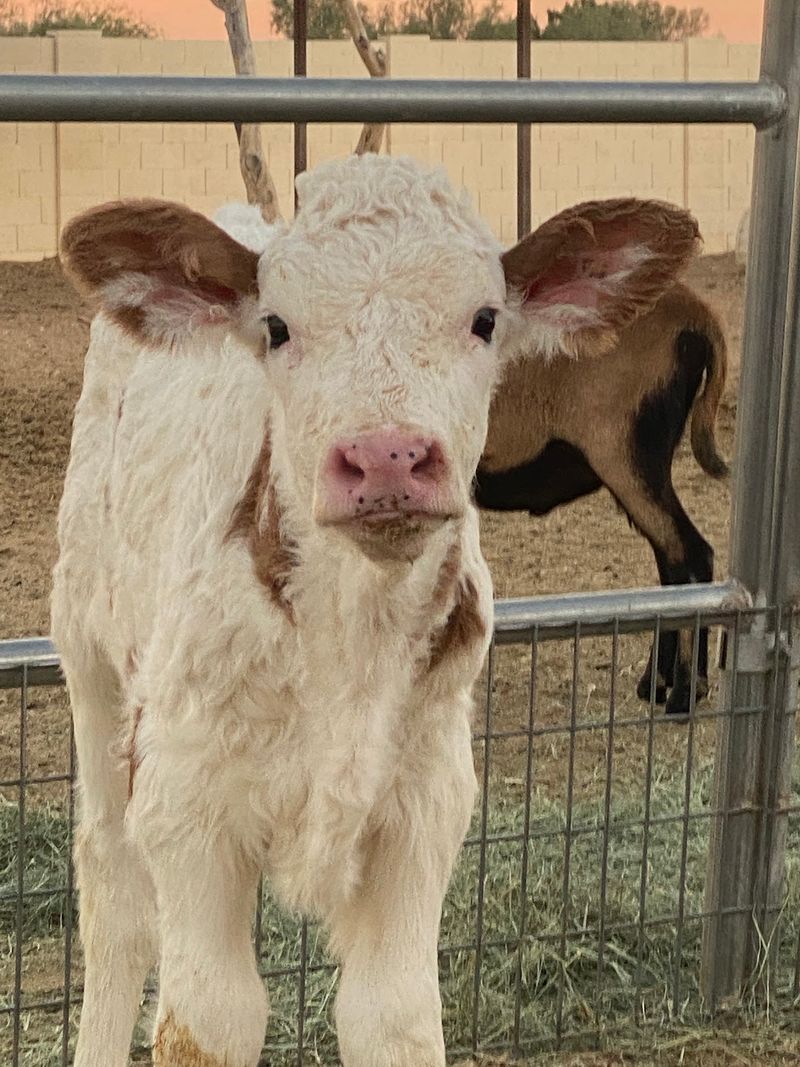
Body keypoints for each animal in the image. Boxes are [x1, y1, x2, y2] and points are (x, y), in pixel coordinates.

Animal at [51, 154, 699, 1067]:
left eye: (486, 319)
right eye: (277, 325)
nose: (387, 456)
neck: (349, 645)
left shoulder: (425, 803)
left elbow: (392, 1014)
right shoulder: (186, 799)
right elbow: (206, 1019)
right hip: (90, 652)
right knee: (113, 897)